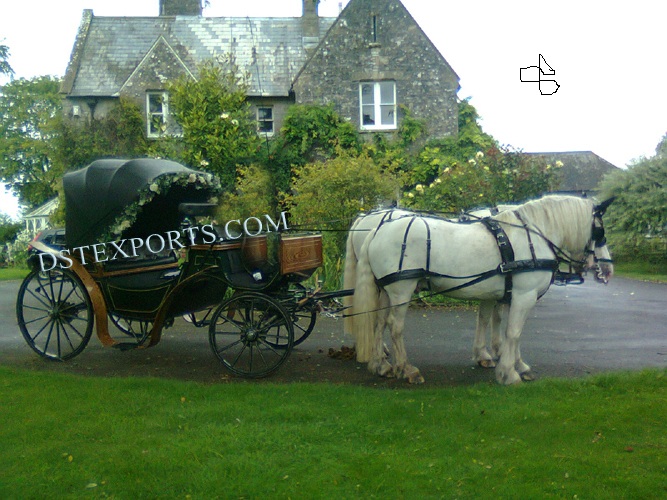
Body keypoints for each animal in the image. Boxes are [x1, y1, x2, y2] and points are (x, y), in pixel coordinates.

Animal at [352, 194, 620, 382]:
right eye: (600, 231)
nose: (608, 270)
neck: (534, 236)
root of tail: (376, 230)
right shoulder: (524, 295)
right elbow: (513, 332)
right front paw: (508, 373)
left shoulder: (510, 296)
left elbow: (507, 329)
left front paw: (515, 364)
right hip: (401, 290)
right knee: (395, 327)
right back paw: (407, 369)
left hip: (386, 290)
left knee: (378, 323)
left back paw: (380, 365)